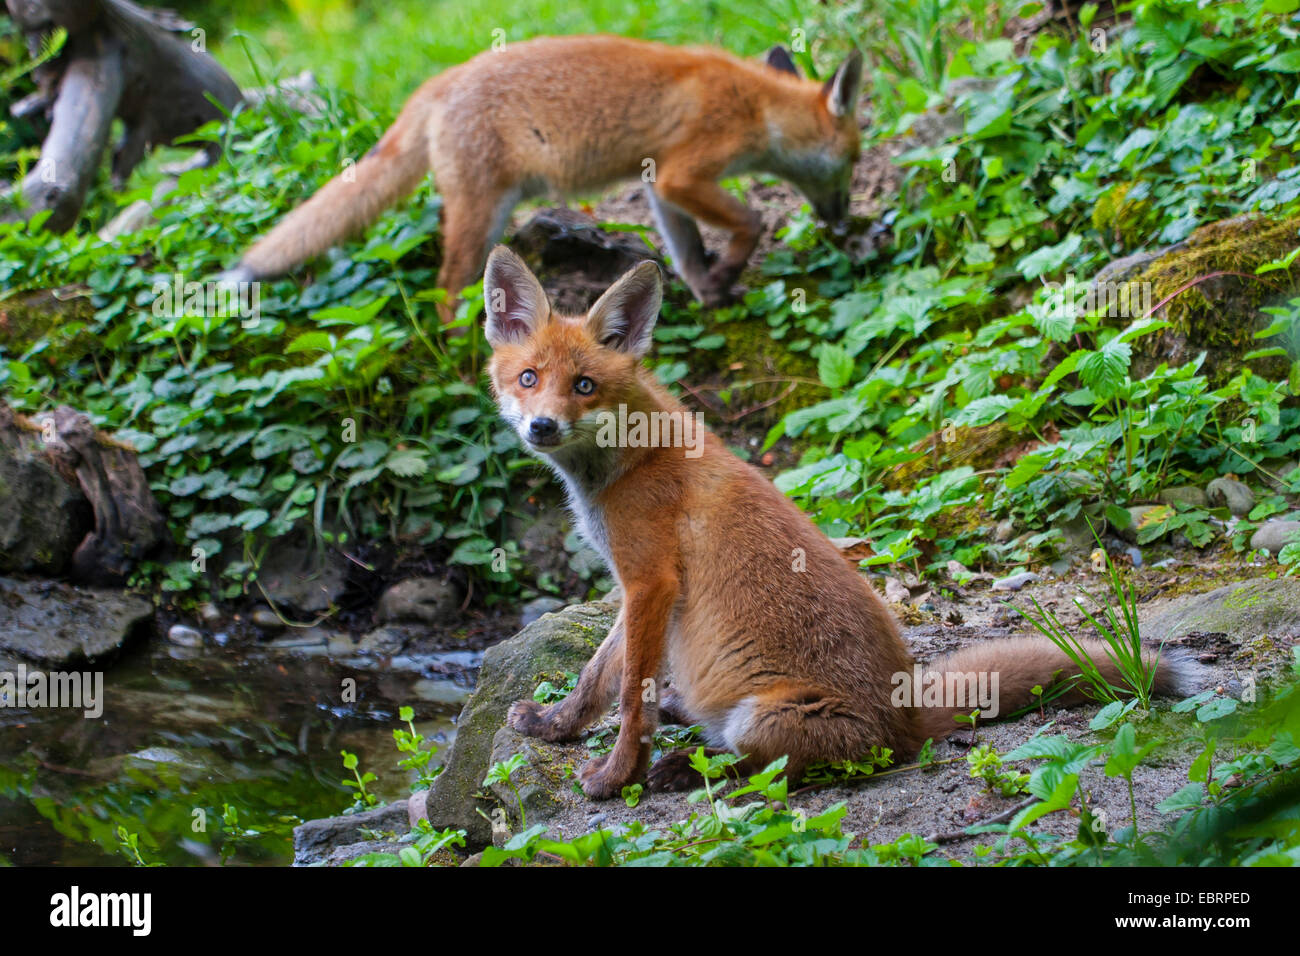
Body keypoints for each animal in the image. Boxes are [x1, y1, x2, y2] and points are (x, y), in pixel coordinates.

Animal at [223, 35, 863, 317]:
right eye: (856, 164)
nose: (843, 222)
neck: (756, 105)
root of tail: (439, 81)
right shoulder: (684, 173)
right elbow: (751, 221)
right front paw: (729, 271)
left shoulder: (658, 182)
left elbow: (685, 253)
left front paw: (709, 293)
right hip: (481, 216)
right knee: (446, 293)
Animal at [488, 247, 1196, 801]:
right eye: (529, 378)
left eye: (584, 385)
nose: (542, 426)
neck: (626, 462)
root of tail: (907, 716)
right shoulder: (634, 589)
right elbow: (596, 678)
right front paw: (555, 727)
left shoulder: (651, 583)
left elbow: (630, 702)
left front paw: (615, 779)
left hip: (767, 719)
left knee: (774, 772)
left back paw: (685, 768)